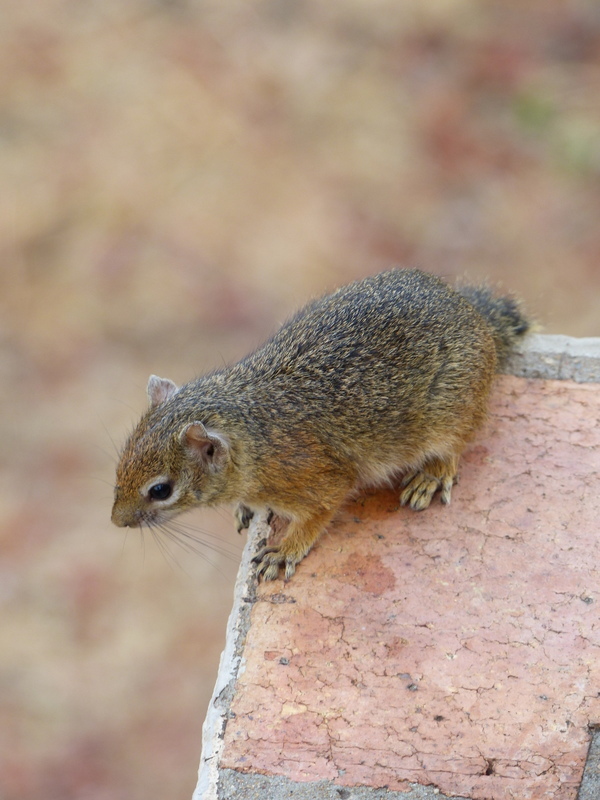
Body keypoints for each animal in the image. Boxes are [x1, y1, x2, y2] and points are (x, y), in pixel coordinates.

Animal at [112, 268, 528, 580]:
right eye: (120, 464)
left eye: (160, 489)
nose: (117, 522)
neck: (252, 431)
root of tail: (475, 316)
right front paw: (245, 508)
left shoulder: (319, 480)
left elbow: (316, 517)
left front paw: (283, 551)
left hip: (450, 414)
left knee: (455, 447)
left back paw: (431, 476)